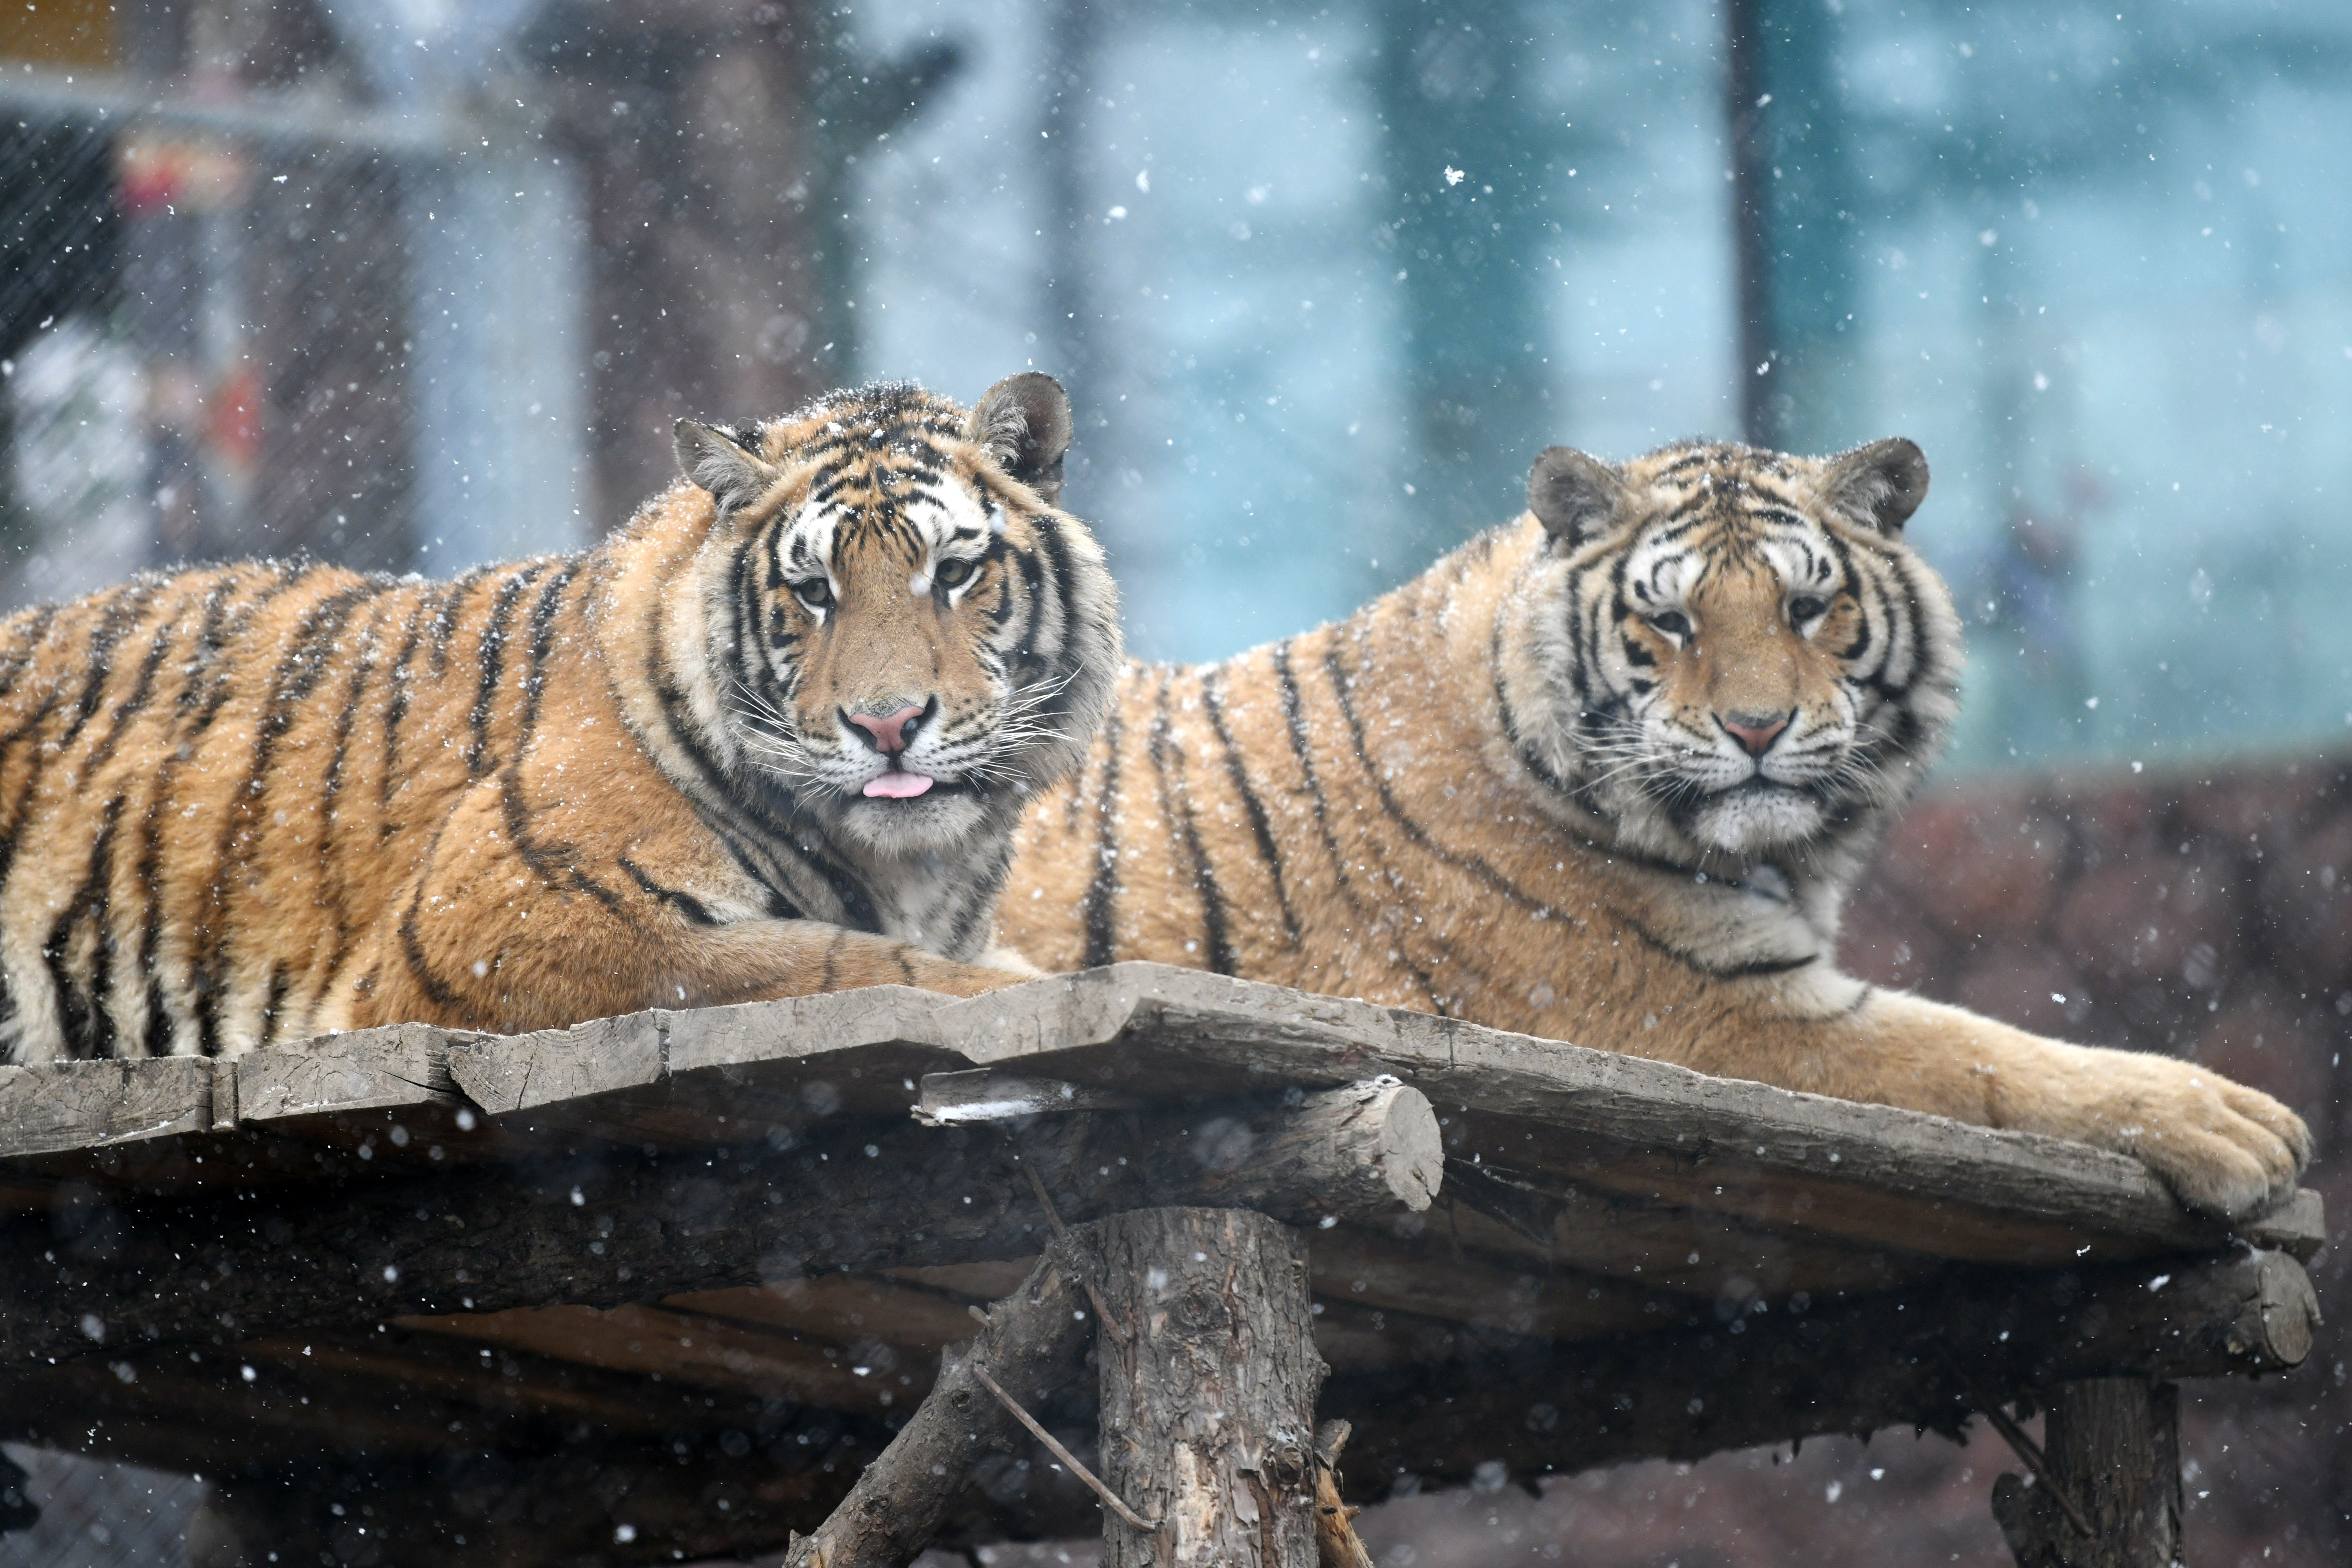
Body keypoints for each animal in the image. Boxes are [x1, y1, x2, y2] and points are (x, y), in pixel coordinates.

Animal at [0, 374, 1115, 1062]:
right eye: (812, 592)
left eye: (954, 572)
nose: (886, 725)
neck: (919, 863)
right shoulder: (509, 920)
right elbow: (855, 965)